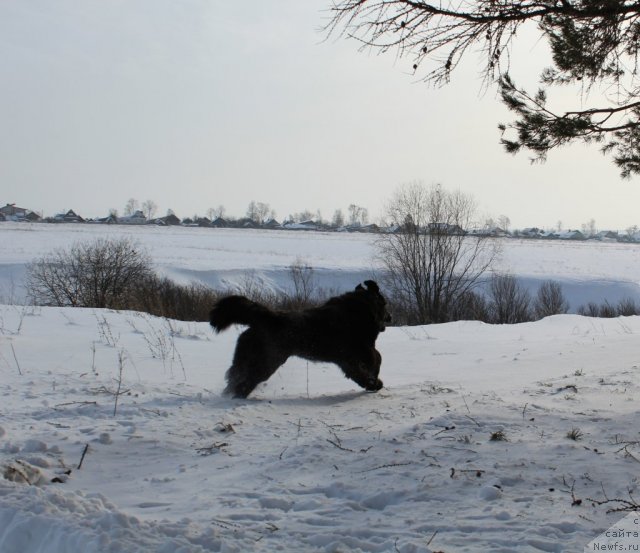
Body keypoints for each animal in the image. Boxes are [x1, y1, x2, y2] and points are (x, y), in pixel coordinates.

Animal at [210, 280, 390, 396]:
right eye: (384, 303)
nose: (390, 317)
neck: (360, 312)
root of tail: (266, 317)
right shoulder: (361, 352)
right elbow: (377, 359)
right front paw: (375, 383)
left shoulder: (347, 360)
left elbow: (362, 371)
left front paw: (372, 384)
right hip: (265, 363)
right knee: (243, 383)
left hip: (246, 359)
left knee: (235, 379)